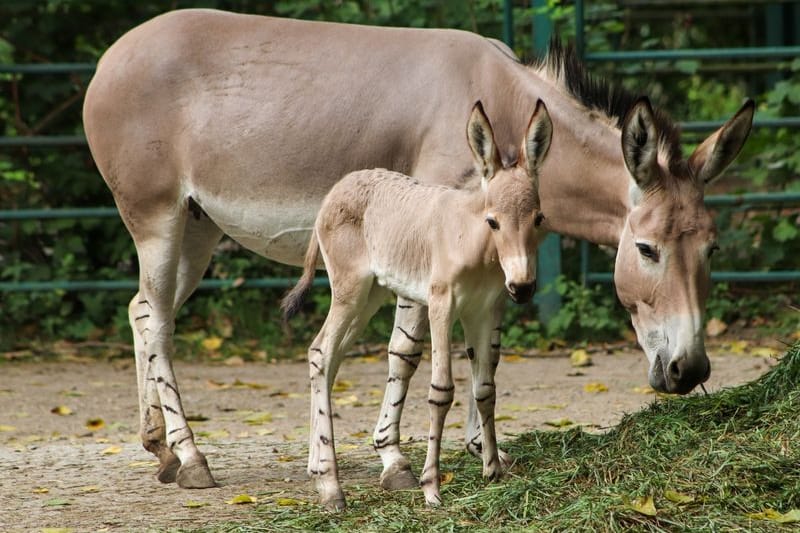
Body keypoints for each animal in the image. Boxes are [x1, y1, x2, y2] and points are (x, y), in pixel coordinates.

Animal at [284, 102, 552, 510]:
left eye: (537, 218)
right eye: (493, 221)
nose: (522, 288)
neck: (473, 242)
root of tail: (338, 188)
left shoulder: (484, 310)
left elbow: (485, 388)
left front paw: (493, 471)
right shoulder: (442, 305)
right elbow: (441, 391)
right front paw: (431, 487)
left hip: (370, 296)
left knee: (328, 357)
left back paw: (317, 470)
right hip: (349, 291)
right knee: (321, 352)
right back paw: (331, 488)